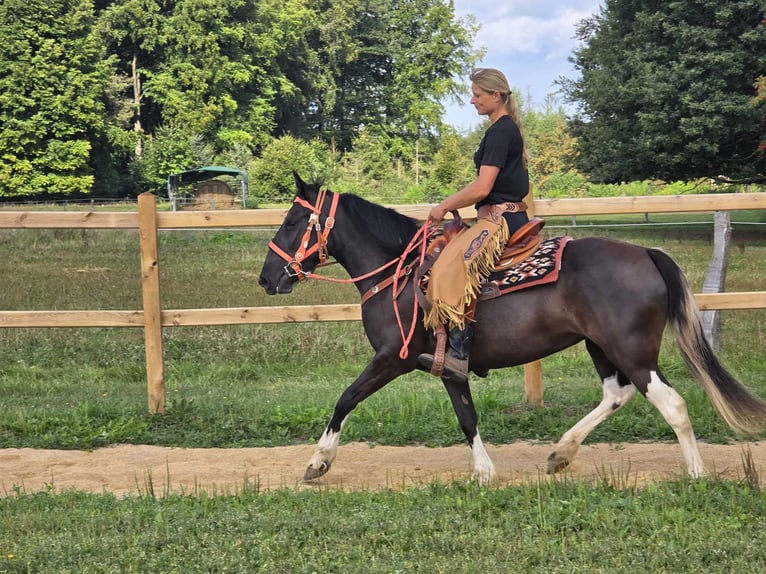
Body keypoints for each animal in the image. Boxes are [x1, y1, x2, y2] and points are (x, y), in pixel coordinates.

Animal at [260, 176, 766, 486]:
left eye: (292, 221)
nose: (267, 278)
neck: (399, 274)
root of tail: (646, 252)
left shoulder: (392, 358)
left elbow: (346, 398)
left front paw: (318, 461)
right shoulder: (446, 366)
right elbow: (466, 415)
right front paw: (484, 470)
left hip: (633, 351)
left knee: (671, 403)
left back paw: (696, 473)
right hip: (601, 346)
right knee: (616, 394)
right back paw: (561, 453)